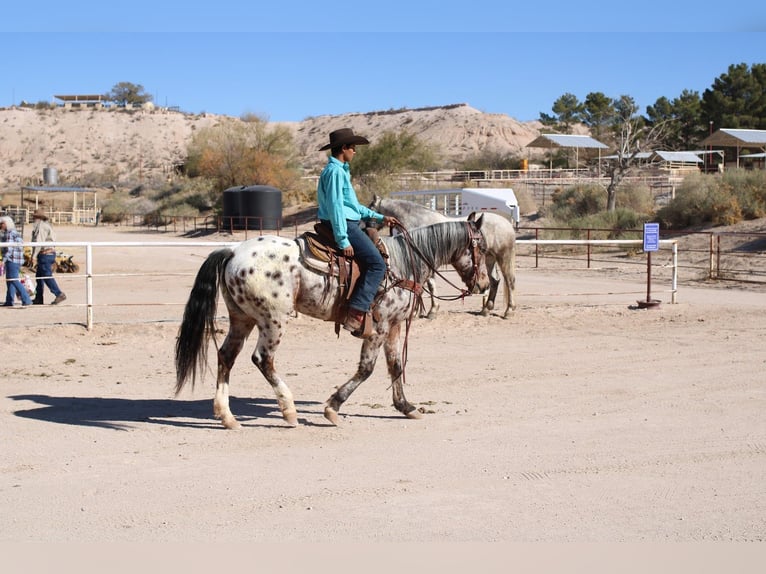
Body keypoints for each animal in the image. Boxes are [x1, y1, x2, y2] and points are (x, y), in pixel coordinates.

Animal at [175, 218, 488, 430]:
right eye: (483, 247)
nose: (484, 285)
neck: (402, 264)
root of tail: (233, 250)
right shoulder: (379, 327)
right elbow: (367, 369)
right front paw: (333, 407)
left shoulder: (395, 325)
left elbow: (396, 366)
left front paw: (406, 406)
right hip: (272, 320)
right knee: (262, 359)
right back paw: (289, 411)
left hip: (243, 318)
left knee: (226, 356)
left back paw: (227, 417)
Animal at [368, 195, 520, 320]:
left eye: (370, 209)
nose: (363, 226)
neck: (419, 220)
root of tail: (507, 223)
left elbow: (429, 285)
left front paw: (428, 311)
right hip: (489, 259)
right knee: (494, 281)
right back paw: (486, 309)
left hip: (503, 257)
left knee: (510, 281)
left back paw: (509, 311)